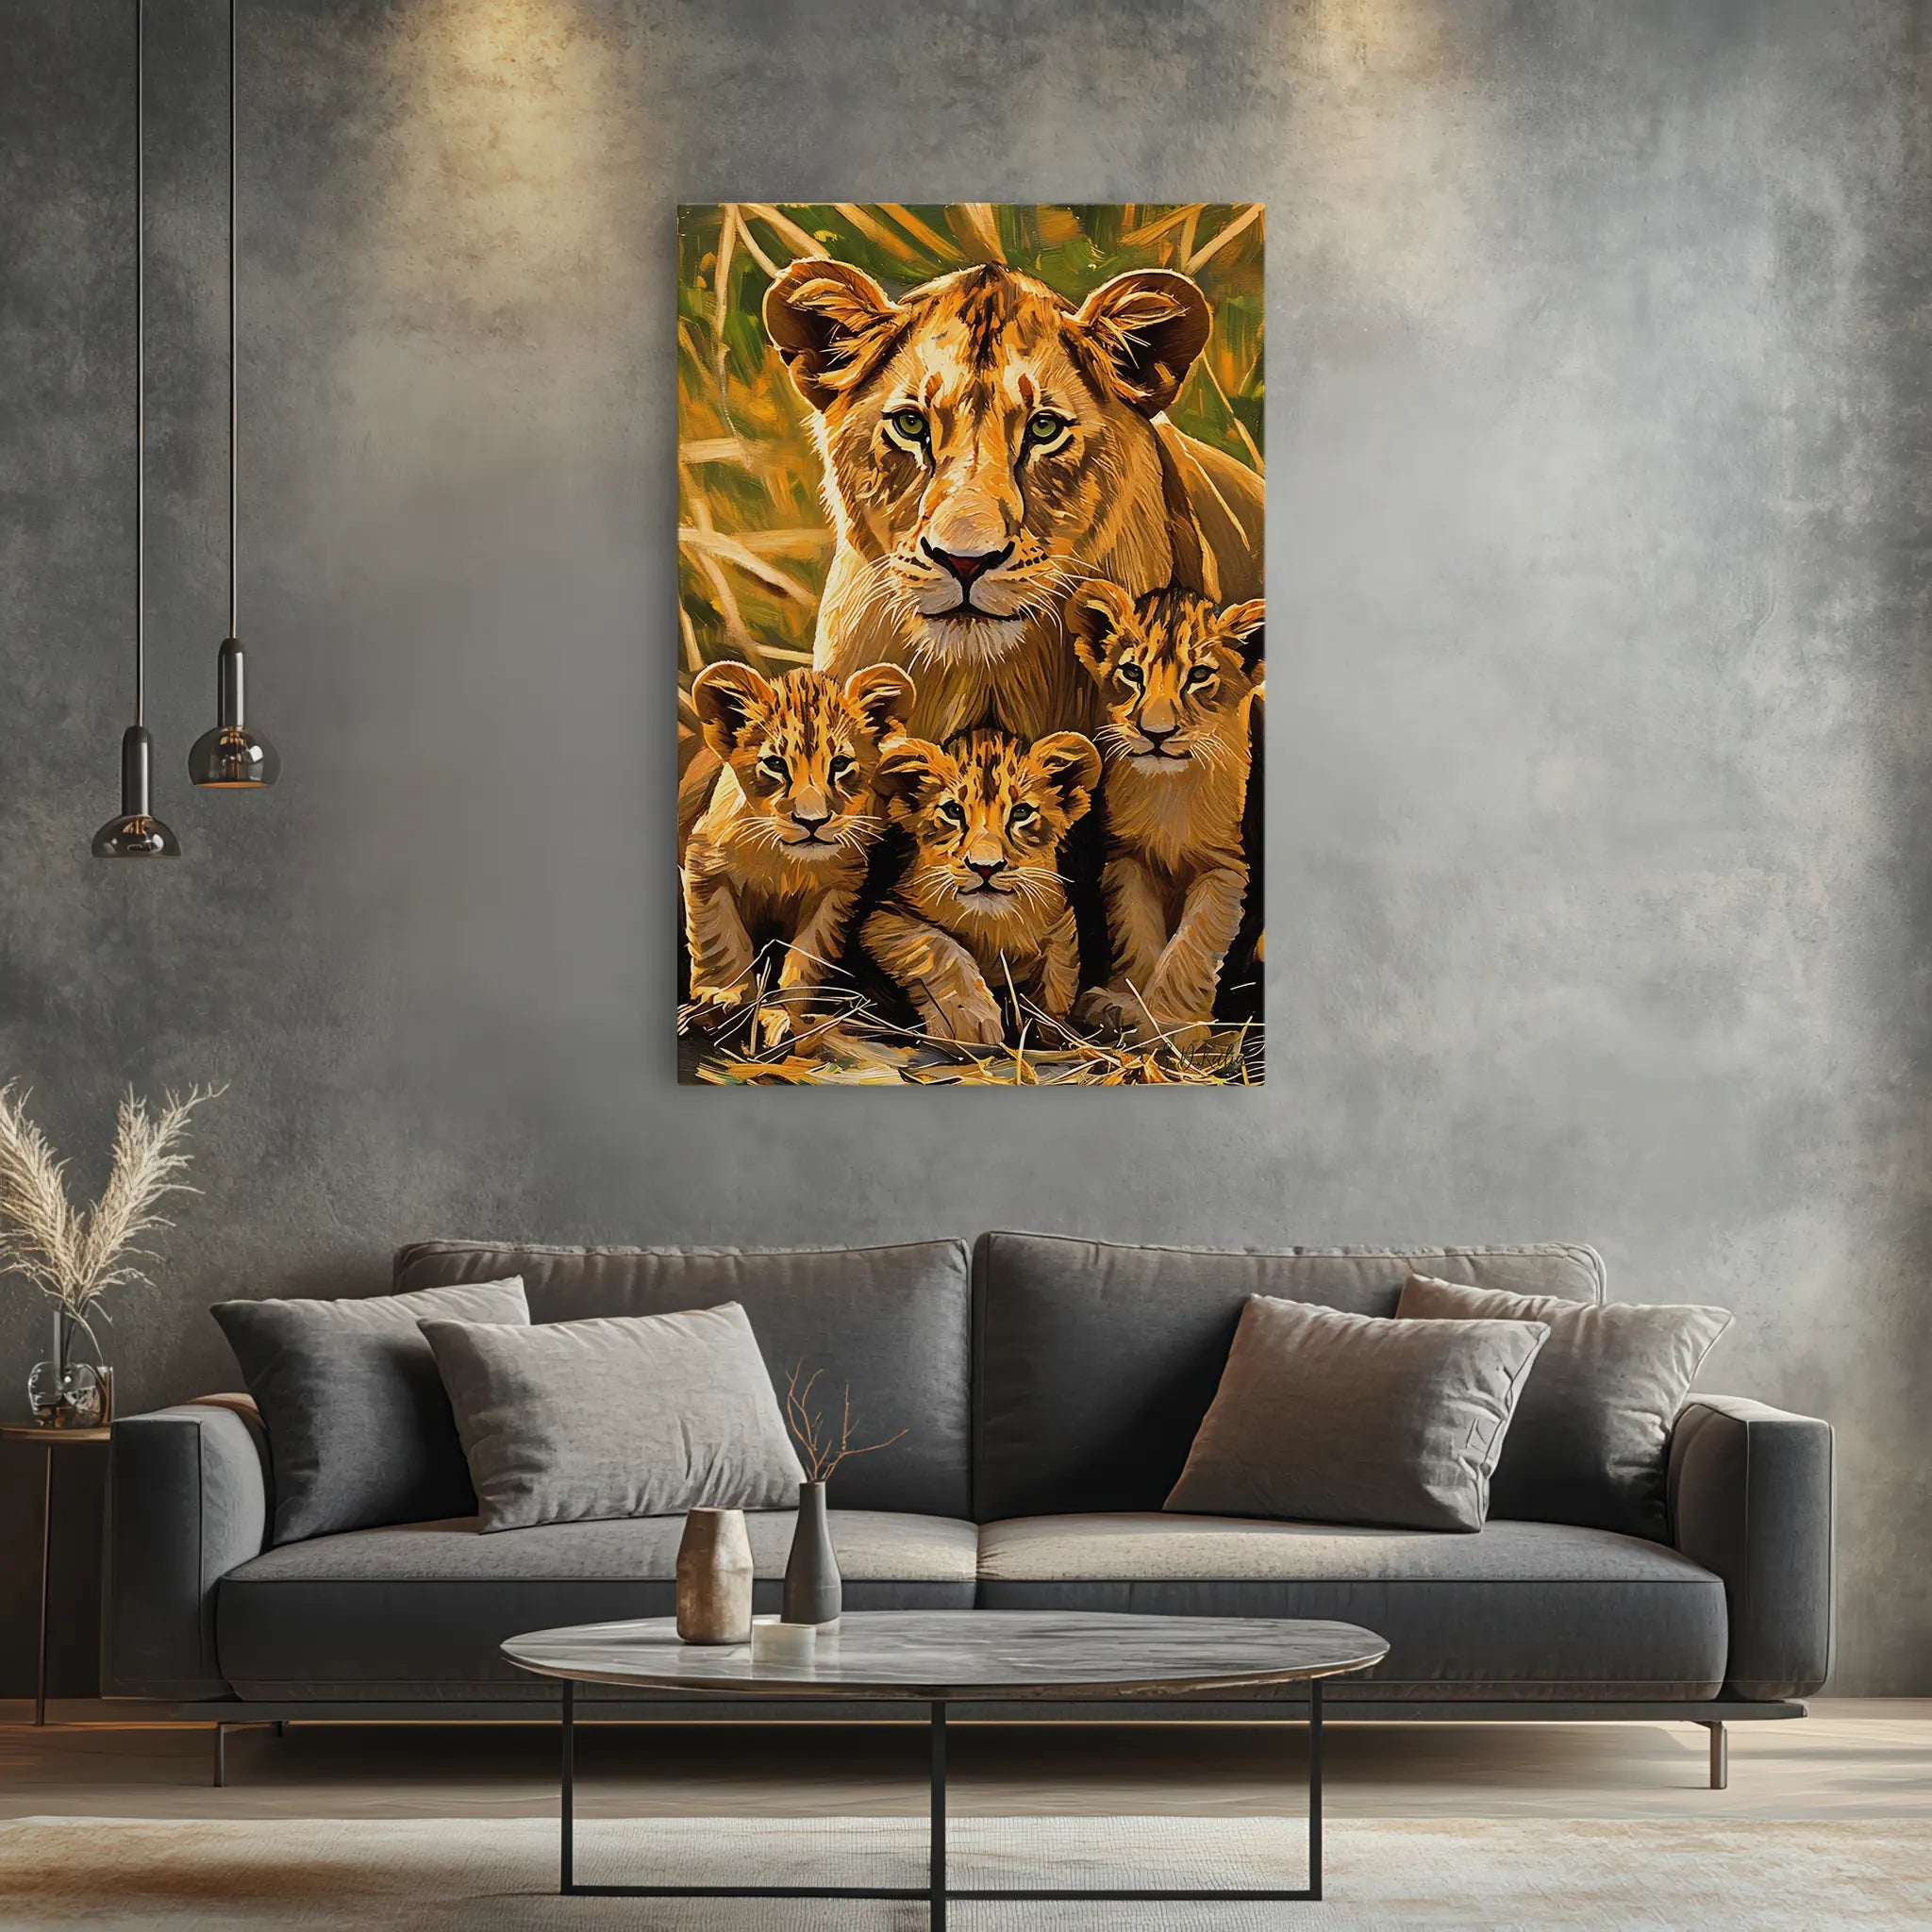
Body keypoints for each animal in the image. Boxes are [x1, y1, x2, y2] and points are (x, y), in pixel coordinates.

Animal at [683, 660, 914, 1046]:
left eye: (840, 764)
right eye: (776, 764)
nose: (812, 821)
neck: (785, 862)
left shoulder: (837, 892)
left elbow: (806, 957)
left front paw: (789, 1016)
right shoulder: (705, 866)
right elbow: (721, 939)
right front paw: (724, 997)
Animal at [864, 727, 1102, 1047]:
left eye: (1021, 812)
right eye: (953, 811)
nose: (985, 867)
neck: (992, 925)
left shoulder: (1060, 924)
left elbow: (1057, 975)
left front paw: (1053, 1032)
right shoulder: (882, 917)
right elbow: (937, 946)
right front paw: (970, 1023)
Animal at [1066, 582, 1264, 1042]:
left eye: (1200, 675)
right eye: (1132, 673)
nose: (1155, 734)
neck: (1169, 792)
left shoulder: (1228, 867)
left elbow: (1192, 943)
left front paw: (1172, 1024)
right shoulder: (1128, 859)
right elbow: (1136, 933)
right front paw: (1122, 1005)